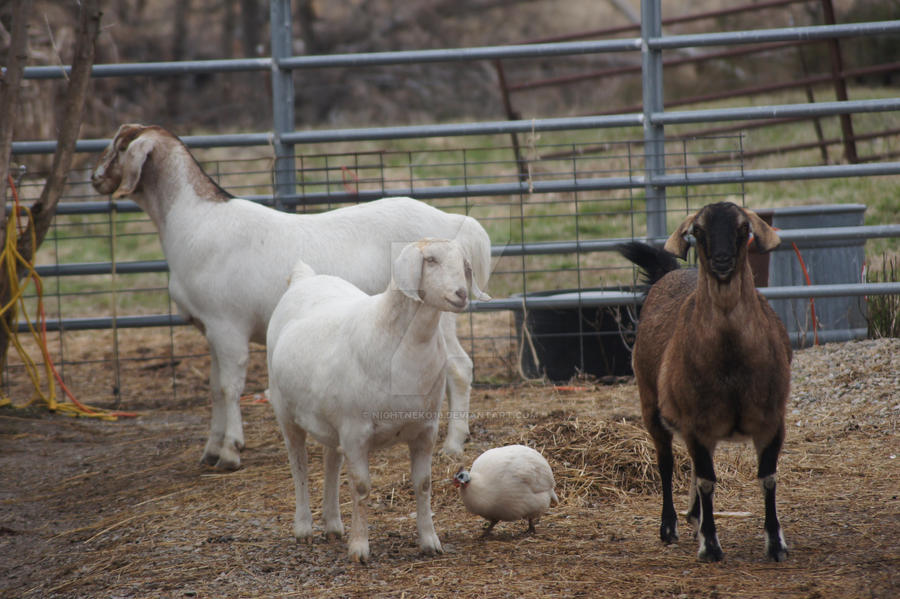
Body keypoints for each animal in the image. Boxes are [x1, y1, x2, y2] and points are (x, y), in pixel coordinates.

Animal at [91, 124, 491, 469]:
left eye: (121, 146)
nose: (94, 178)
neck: (196, 222)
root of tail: (455, 223)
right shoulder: (210, 330)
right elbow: (215, 388)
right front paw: (210, 450)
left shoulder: (227, 326)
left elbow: (230, 386)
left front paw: (231, 451)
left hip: (442, 311)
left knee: (458, 367)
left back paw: (453, 443)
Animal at [266, 239, 489, 562]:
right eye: (431, 260)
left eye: (464, 263)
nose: (461, 294)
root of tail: (304, 278)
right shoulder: (356, 432)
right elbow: (360, 488)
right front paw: (360, 549)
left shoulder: (425, 431)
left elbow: (423, 484)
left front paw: (430, 541)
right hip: (286, 411)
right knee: (299, 464)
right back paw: (304, 527)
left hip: (330, 420)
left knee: (331, 461)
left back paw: (332, 524)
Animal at [618, 201, 791, 562]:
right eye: (697, 231)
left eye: (743, 228)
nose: (722, 262)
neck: (731, 362)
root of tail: (670, 274)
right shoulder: (696, 422)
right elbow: (707, 481)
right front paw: (710, 546)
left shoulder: (771, 419)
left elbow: (767, 479)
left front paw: (776, 544)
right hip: (651, 405)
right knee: (667, 463)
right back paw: (669, 527)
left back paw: (694, 515)